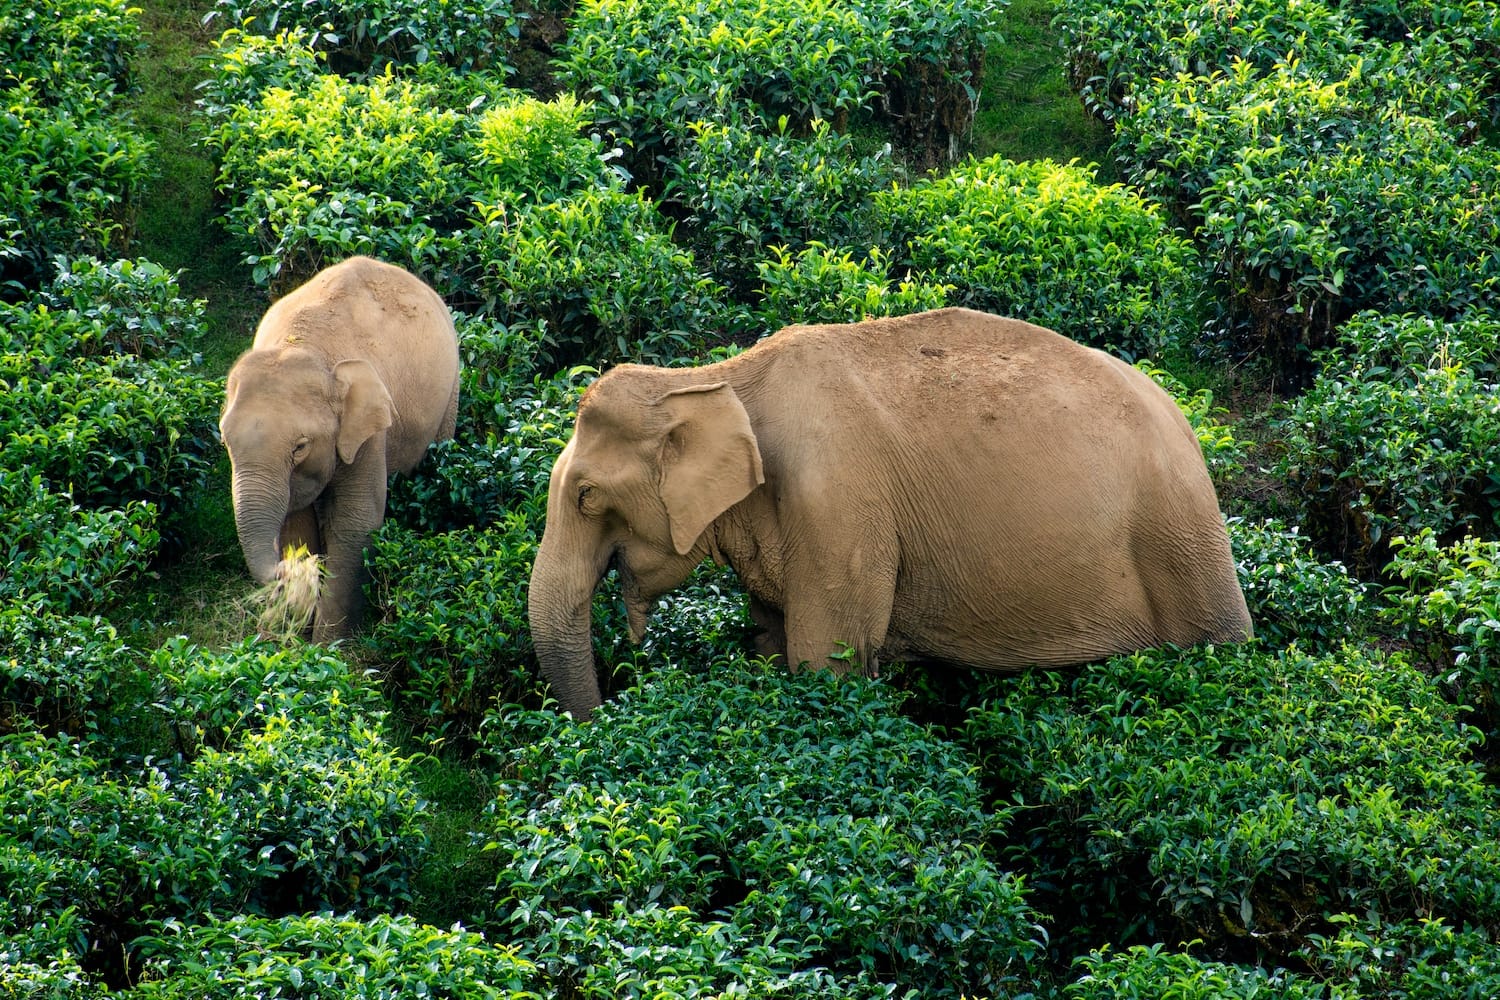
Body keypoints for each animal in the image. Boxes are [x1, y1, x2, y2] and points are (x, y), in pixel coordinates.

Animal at [220, 256, 460, 641]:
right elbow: (296, 520)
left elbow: (356, 520)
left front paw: (328, 646)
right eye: (224, 441)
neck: (302, 346)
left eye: (300, 447)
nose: (285, 569)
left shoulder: (369, 431)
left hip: (450, 392)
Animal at [528, 307, 1252, 718]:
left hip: (1178, 532)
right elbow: (770, 644)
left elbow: (825, 665)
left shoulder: (838, 504)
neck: (714, 377)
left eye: (586, 496)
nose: (610, 714)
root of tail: (1192, 427)